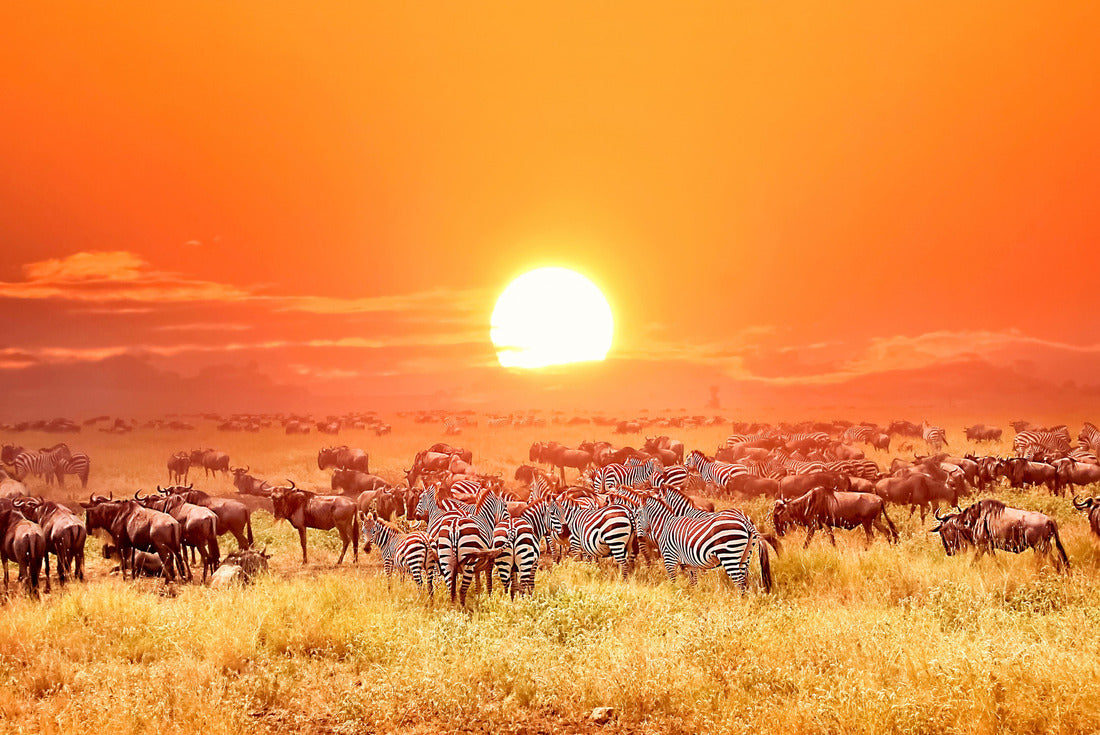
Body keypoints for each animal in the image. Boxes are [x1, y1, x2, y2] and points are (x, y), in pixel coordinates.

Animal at [637, 494, 772, 591]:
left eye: (637, 515)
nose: (639, 538)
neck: (665, 524)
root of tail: (744, 519)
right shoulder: (690, 564)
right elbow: (693, 583)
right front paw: (694, 598)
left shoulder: (669, 559)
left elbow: (673, 581)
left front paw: (675, 595)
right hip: (745, 555)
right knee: (744, 580)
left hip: (729, 554)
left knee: (739, 581)